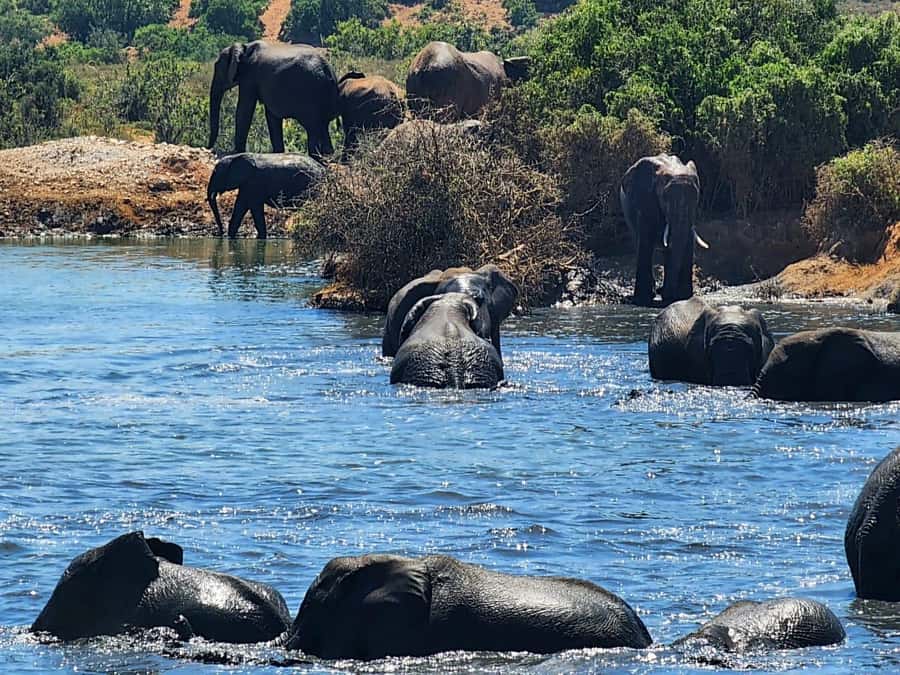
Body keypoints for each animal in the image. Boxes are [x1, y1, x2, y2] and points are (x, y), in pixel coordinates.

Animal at [208, 41, 339, 158]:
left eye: (217, 66)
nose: (210, 149)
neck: (244, 47)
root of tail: (328, 71)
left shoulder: (249, 77)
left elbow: (244, 109)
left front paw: (237, 152)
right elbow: (271, 116)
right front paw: (278, 153)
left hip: (311, 94)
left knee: (313, 128)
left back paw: (316, 157)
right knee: (322, 126)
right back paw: (327, 156)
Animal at [619, 154, 707, 307]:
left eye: (696, 199)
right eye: (665, 198)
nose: (667, 296)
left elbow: (687, 242)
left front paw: (683, 296)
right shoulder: (646, 203)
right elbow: (646, 242)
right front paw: (642, 300)